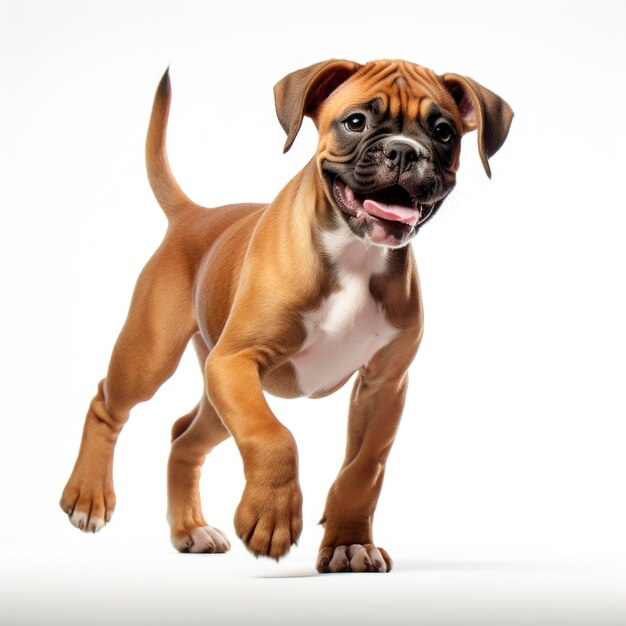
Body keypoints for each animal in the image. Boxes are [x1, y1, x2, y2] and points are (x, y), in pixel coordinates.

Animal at [58, 58, 510, 572]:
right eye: (356, 121)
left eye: (443, 132)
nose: (402, 150)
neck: (355, 253)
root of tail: (192, 214)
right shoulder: (236, 363)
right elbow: (272, 434)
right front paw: (272, 516)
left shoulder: (384, 386)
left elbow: (364, 468)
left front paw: (349, 542)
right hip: (152, 360)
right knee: (105, 404)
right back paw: (88, 497)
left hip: (217, 399)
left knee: (182, 437)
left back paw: (190, 529)